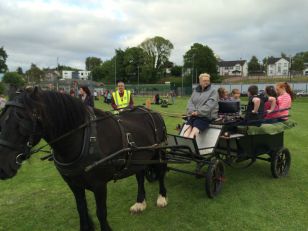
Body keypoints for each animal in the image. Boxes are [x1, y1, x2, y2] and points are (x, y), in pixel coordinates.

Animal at [0, 87, 168, 230]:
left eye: (22, 118)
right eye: (2, 116)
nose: (3, 167)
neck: (84, 139)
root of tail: (151, 112)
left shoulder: (99, 185)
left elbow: (101, 213)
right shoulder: (74, 185)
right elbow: (81, 209)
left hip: (158, 153)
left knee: (161, 173)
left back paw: (162, 197)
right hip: (138, 157)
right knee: (140, 175)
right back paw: (140, 202)